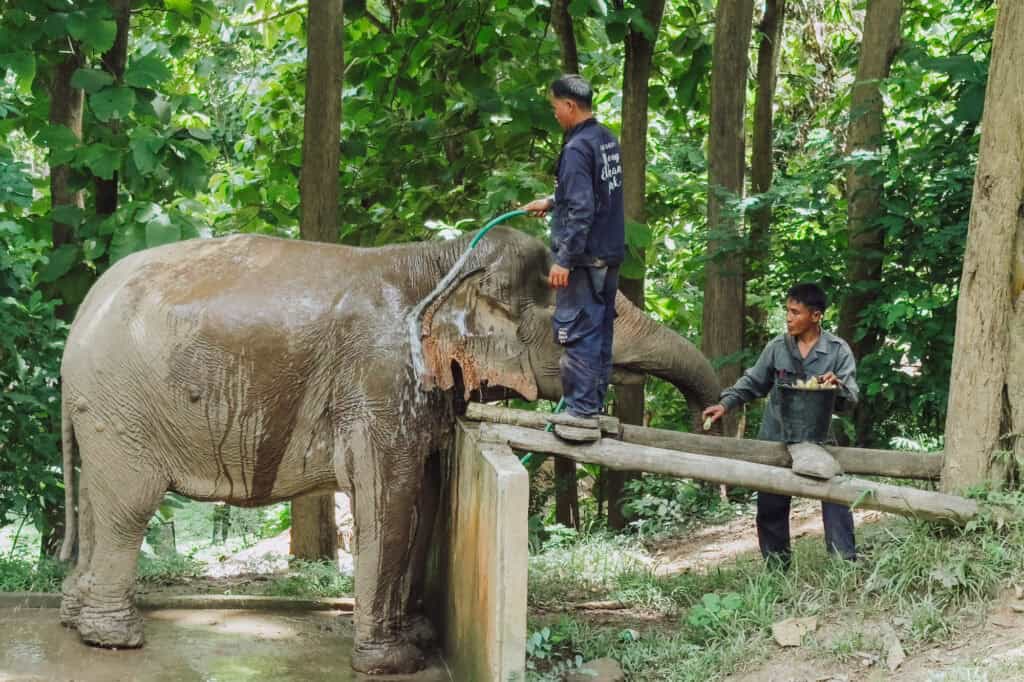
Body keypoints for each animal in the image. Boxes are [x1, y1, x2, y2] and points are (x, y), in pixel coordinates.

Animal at [58, 226, 721, 674]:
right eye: (575, 328)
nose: (711, 417)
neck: (446, 258)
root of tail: (81, 315)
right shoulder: (379, 379)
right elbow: (389, 496)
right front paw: (392, 662)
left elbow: (424, 494)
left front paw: (421, 638)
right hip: (124, 406)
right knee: (127, 508)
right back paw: (116, 640)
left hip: (103, 414)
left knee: (94, 503)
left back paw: (72, 620)